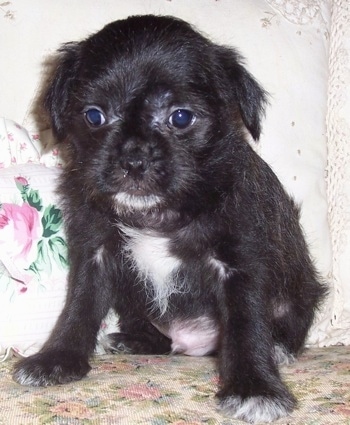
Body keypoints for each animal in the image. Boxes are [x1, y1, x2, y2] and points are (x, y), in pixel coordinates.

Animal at [12, 14, 326, 422]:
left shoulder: (240, 263)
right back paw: (132, 340)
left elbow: (247, 325)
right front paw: (57, 359)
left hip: (298, 294)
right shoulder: (96, 253)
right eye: (94, 115)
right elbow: (79, 307)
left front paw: (255, 387)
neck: (158, 214)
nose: (133, 159)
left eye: (180, 117)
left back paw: (279, 350)